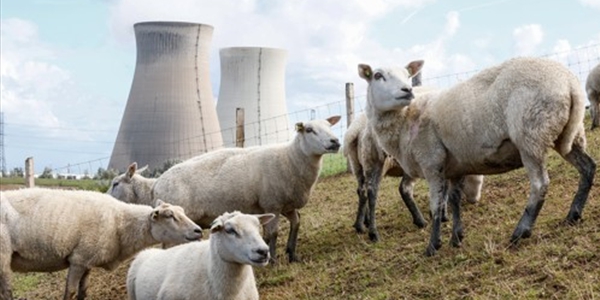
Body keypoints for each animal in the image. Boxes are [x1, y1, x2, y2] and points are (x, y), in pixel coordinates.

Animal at [0, 186, 203, 298]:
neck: (120, 224)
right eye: (169, 216)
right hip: (3, 255)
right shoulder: (78, 260)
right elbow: (70, 292)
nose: (199, 231)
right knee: (7, 292)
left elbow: (83, 292)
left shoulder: (87, 261)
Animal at [151, 116, 342, 262]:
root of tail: (156, 184)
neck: (290, 158)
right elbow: (273, 233)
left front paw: (292, 255)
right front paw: (273, 261)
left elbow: (296, 223)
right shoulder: (272, 204)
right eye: (309, 130)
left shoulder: (286, 205)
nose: (335, 141)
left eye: (329, 126)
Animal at [358, 56, 596, 255]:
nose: (407, 90)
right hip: (569, 135)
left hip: (531, 136)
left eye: (408, 75)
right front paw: (456, 237)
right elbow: (454, 200)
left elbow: (437, 206)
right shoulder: (454, 168)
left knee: (540, 184)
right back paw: (573, 215)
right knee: (588, 167)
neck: (406, 119)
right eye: (377, 75)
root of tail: (570, 83)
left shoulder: (431, 162)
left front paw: (433, 246)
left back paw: (521, 231)